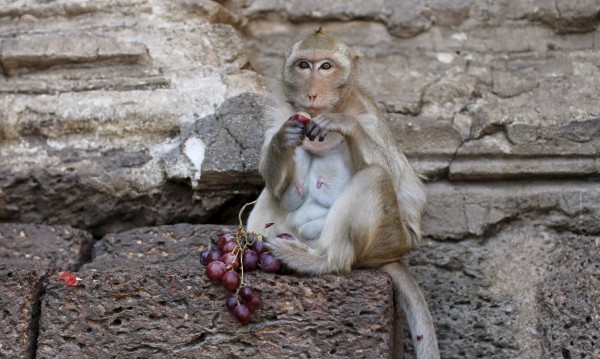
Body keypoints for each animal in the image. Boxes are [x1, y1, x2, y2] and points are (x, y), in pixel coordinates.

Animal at [246, 28, 438, 359]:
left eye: (326, 66)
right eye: (303, 66)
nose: (312, 93)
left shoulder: (369, 114)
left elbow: (401, 183)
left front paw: (345, 125)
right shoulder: (279, 113)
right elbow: (277, 183)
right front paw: (284, 140)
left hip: (388, 239)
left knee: (375, 177)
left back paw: (322, 261)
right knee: (272, 194)